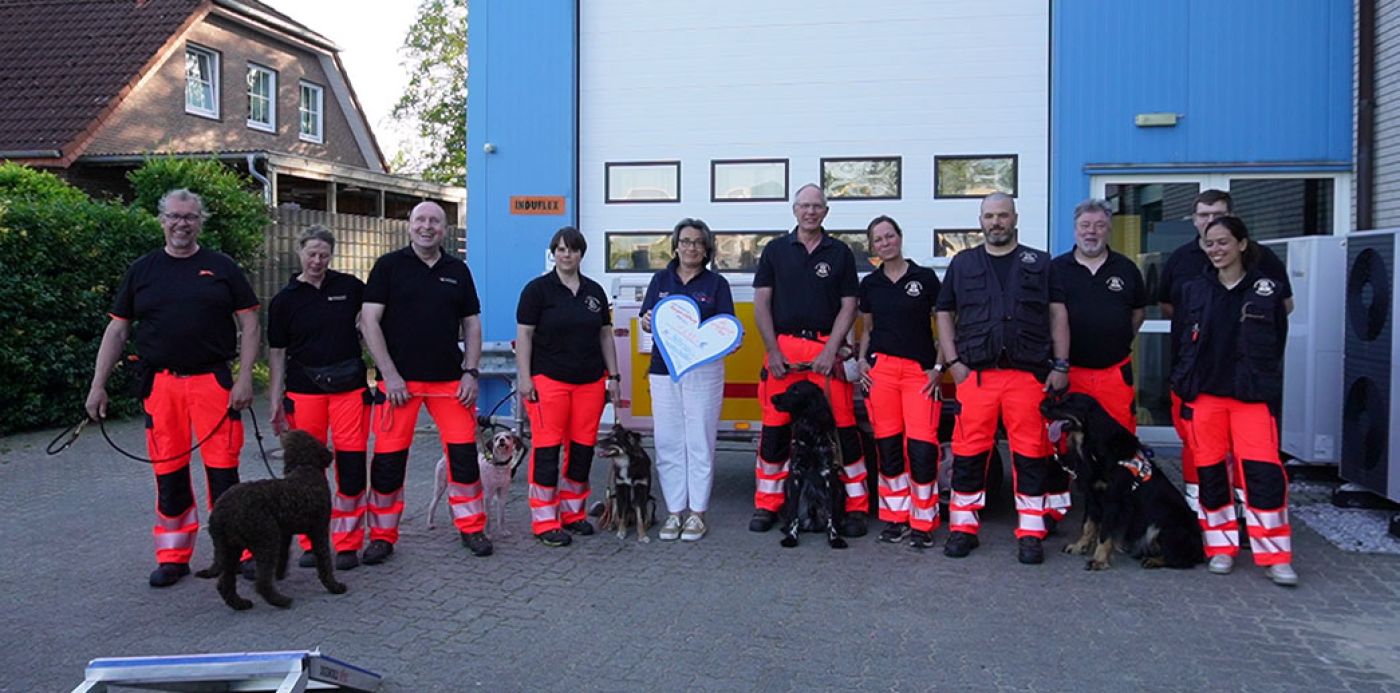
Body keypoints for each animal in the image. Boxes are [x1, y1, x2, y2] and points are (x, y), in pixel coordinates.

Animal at [196, 431, 348, 610]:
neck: (304, 468)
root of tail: (219, 512)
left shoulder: (285, 533)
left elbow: (283, 555)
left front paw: (279, 573)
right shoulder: (319, 530)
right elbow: (325, 562)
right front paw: (334, 586)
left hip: (230, 547)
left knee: (225, 582)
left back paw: (240, 603)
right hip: (266, 539)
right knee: (261, 582)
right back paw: (280, 600)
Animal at [772, 383, 845, 551]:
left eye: (796, 391)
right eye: (788, 389)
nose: (773, 398)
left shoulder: (828, 475)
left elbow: (831, 516)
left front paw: (834, 538)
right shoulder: (795, 474)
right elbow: (793, 515)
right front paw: (791, 538)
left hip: (839, 487)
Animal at [1041, 392, 1204, 571]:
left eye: (1069, 403)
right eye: (1061, 398)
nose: (1042, 407)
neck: (1092, 447)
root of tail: (1200, 549)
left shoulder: (1112, 500)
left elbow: (1104, 534)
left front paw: (1099, 560)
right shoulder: (1091, 496)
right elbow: (1088, 526)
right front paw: (1079, 546)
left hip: (1167, 527)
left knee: (1181, 560)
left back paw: (1153, 560)